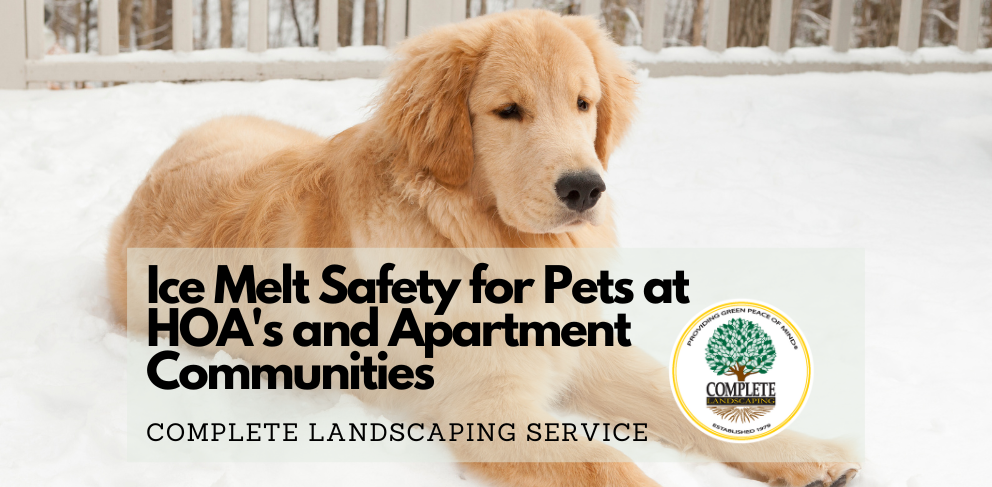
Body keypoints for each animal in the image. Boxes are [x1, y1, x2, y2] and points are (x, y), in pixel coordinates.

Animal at [104, 8, 856, 487]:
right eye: (508, 112)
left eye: (584, 103)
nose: (586, 188)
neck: (486, 240)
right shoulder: (488, 408)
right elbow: (605, 462)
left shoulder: (585, 346)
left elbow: (678, 400)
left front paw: (806, 450)